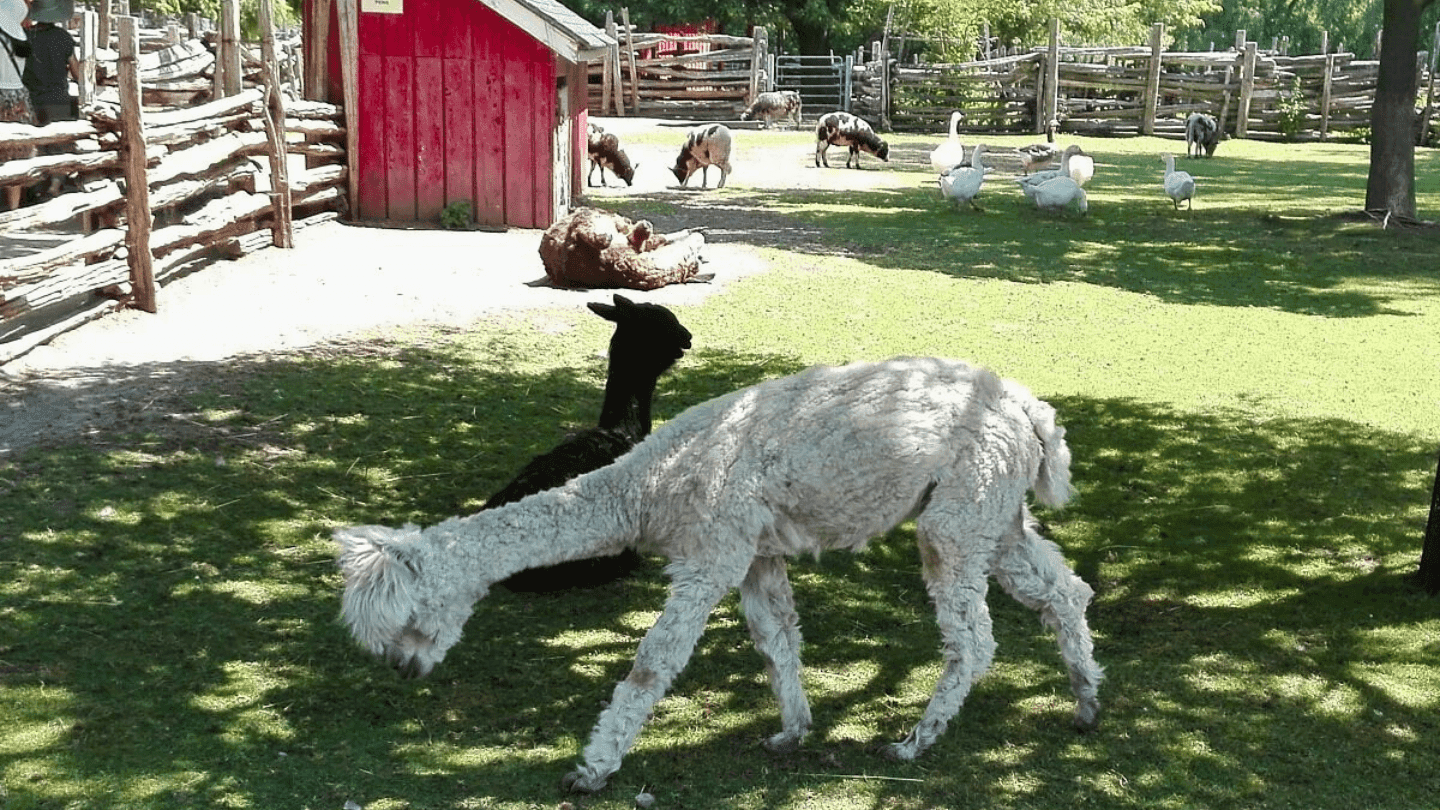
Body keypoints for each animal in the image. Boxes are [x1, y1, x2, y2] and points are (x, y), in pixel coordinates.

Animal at [335, 356, 1104, 794]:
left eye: (411, 619)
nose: (403, 669)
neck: (647, 488)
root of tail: (1032, 409)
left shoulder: (711, 551)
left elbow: (653, 661)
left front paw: (593, 768)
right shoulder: (753, 551)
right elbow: (777, 639)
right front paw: (791, 731)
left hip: (961, 515)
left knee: (974, 640)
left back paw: (916, 740)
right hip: (994, 514)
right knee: (1065, 591)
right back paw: (1086, 702)